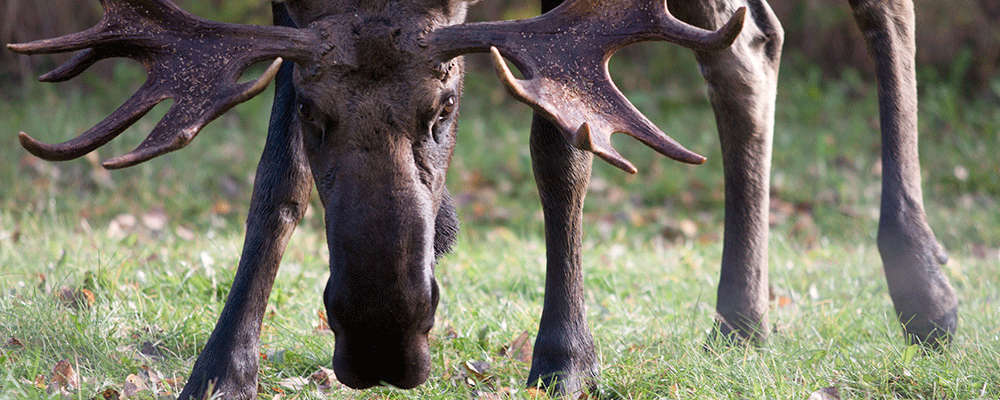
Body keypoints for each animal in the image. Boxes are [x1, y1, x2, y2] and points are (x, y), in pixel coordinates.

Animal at [9, 0, 960, 396]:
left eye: (444, 108)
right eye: (316, 114)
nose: (384, 342)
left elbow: (560, 137)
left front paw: (566, 358)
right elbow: (274, 170)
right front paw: (222, 364)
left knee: (875, 12)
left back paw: (926, 287)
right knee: (748, 40)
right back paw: (743, 316)